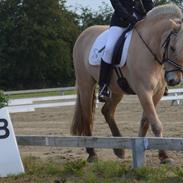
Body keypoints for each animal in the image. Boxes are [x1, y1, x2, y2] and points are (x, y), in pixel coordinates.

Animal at [71, 4, 183, 163]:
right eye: (172, 48)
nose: (175, 80)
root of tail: (83, 34)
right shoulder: (143, 92)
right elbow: (155, 124)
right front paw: (164, 156)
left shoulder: (157, 93)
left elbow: (146, 122)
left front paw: (141, 147)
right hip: (86, 83)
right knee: (88, 116)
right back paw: (92, 153)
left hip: (116, 89)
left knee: (107, 111)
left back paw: (119, 149)